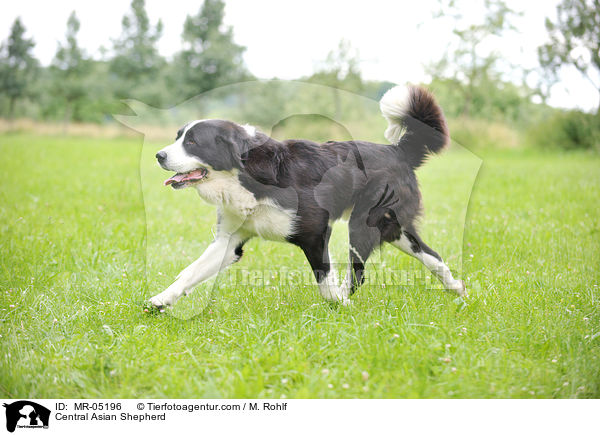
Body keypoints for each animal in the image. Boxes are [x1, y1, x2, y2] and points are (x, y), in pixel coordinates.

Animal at [149, 85, 464, 308]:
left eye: (192, 142)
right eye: (178, 137)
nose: (159, 155)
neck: (244, 172)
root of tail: (397, 151)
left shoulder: (315, 232)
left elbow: (325, 282)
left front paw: (339, 305)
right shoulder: (230, 240)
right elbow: (191, 271)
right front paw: (162, 300)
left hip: (363, 225)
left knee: (359, 274)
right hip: (392, 228)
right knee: (431, 255)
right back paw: (456, 288)